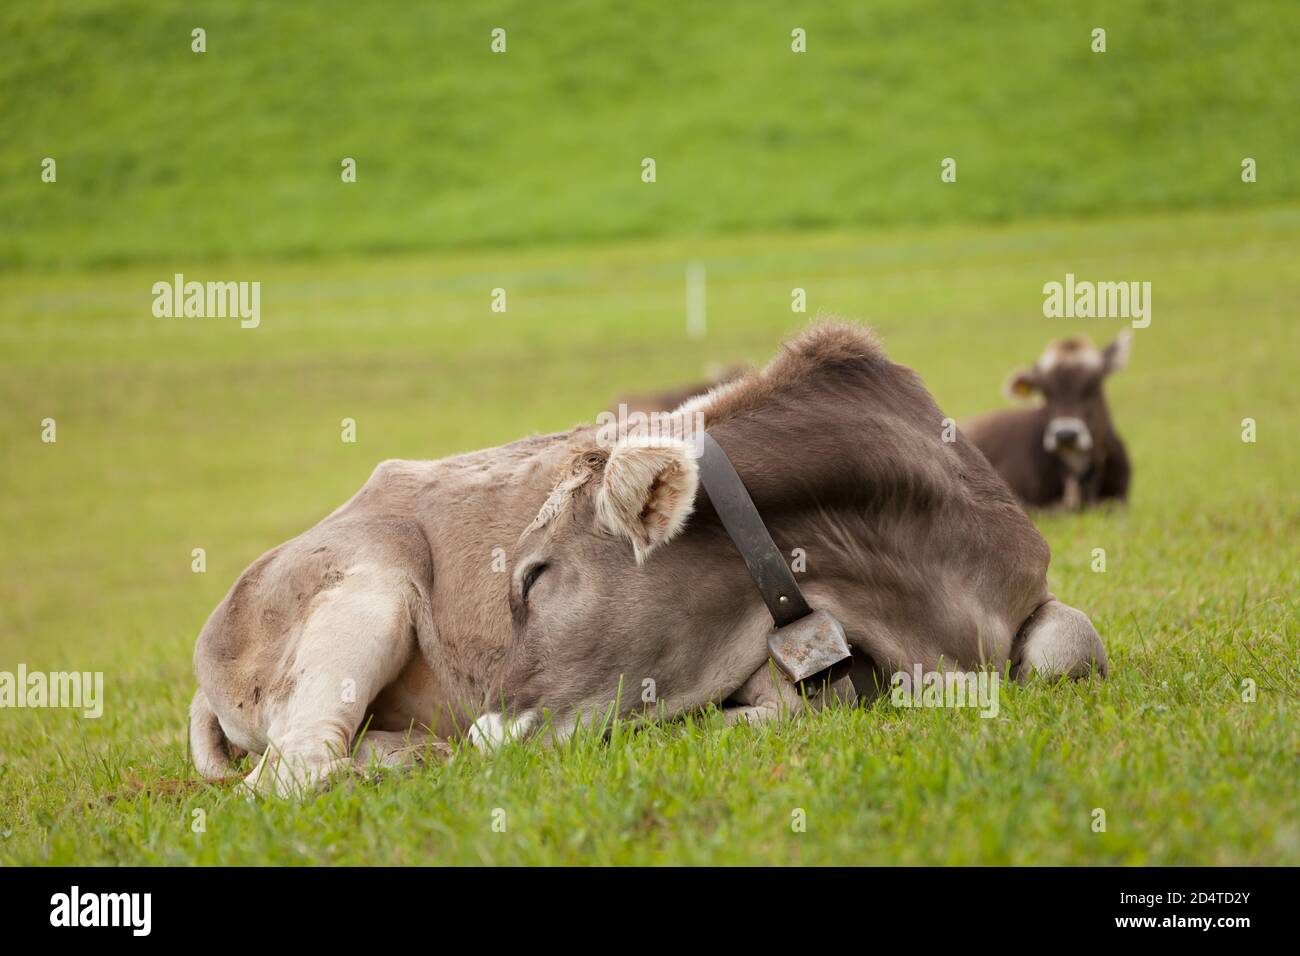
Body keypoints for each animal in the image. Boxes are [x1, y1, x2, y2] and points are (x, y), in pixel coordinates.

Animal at [190, 321, 1108, 796]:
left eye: (535, 575)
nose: (489, 724)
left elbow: (1073, 644)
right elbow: (786, 710)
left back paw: (417, 752)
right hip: (364, 592)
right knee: (293, 768)